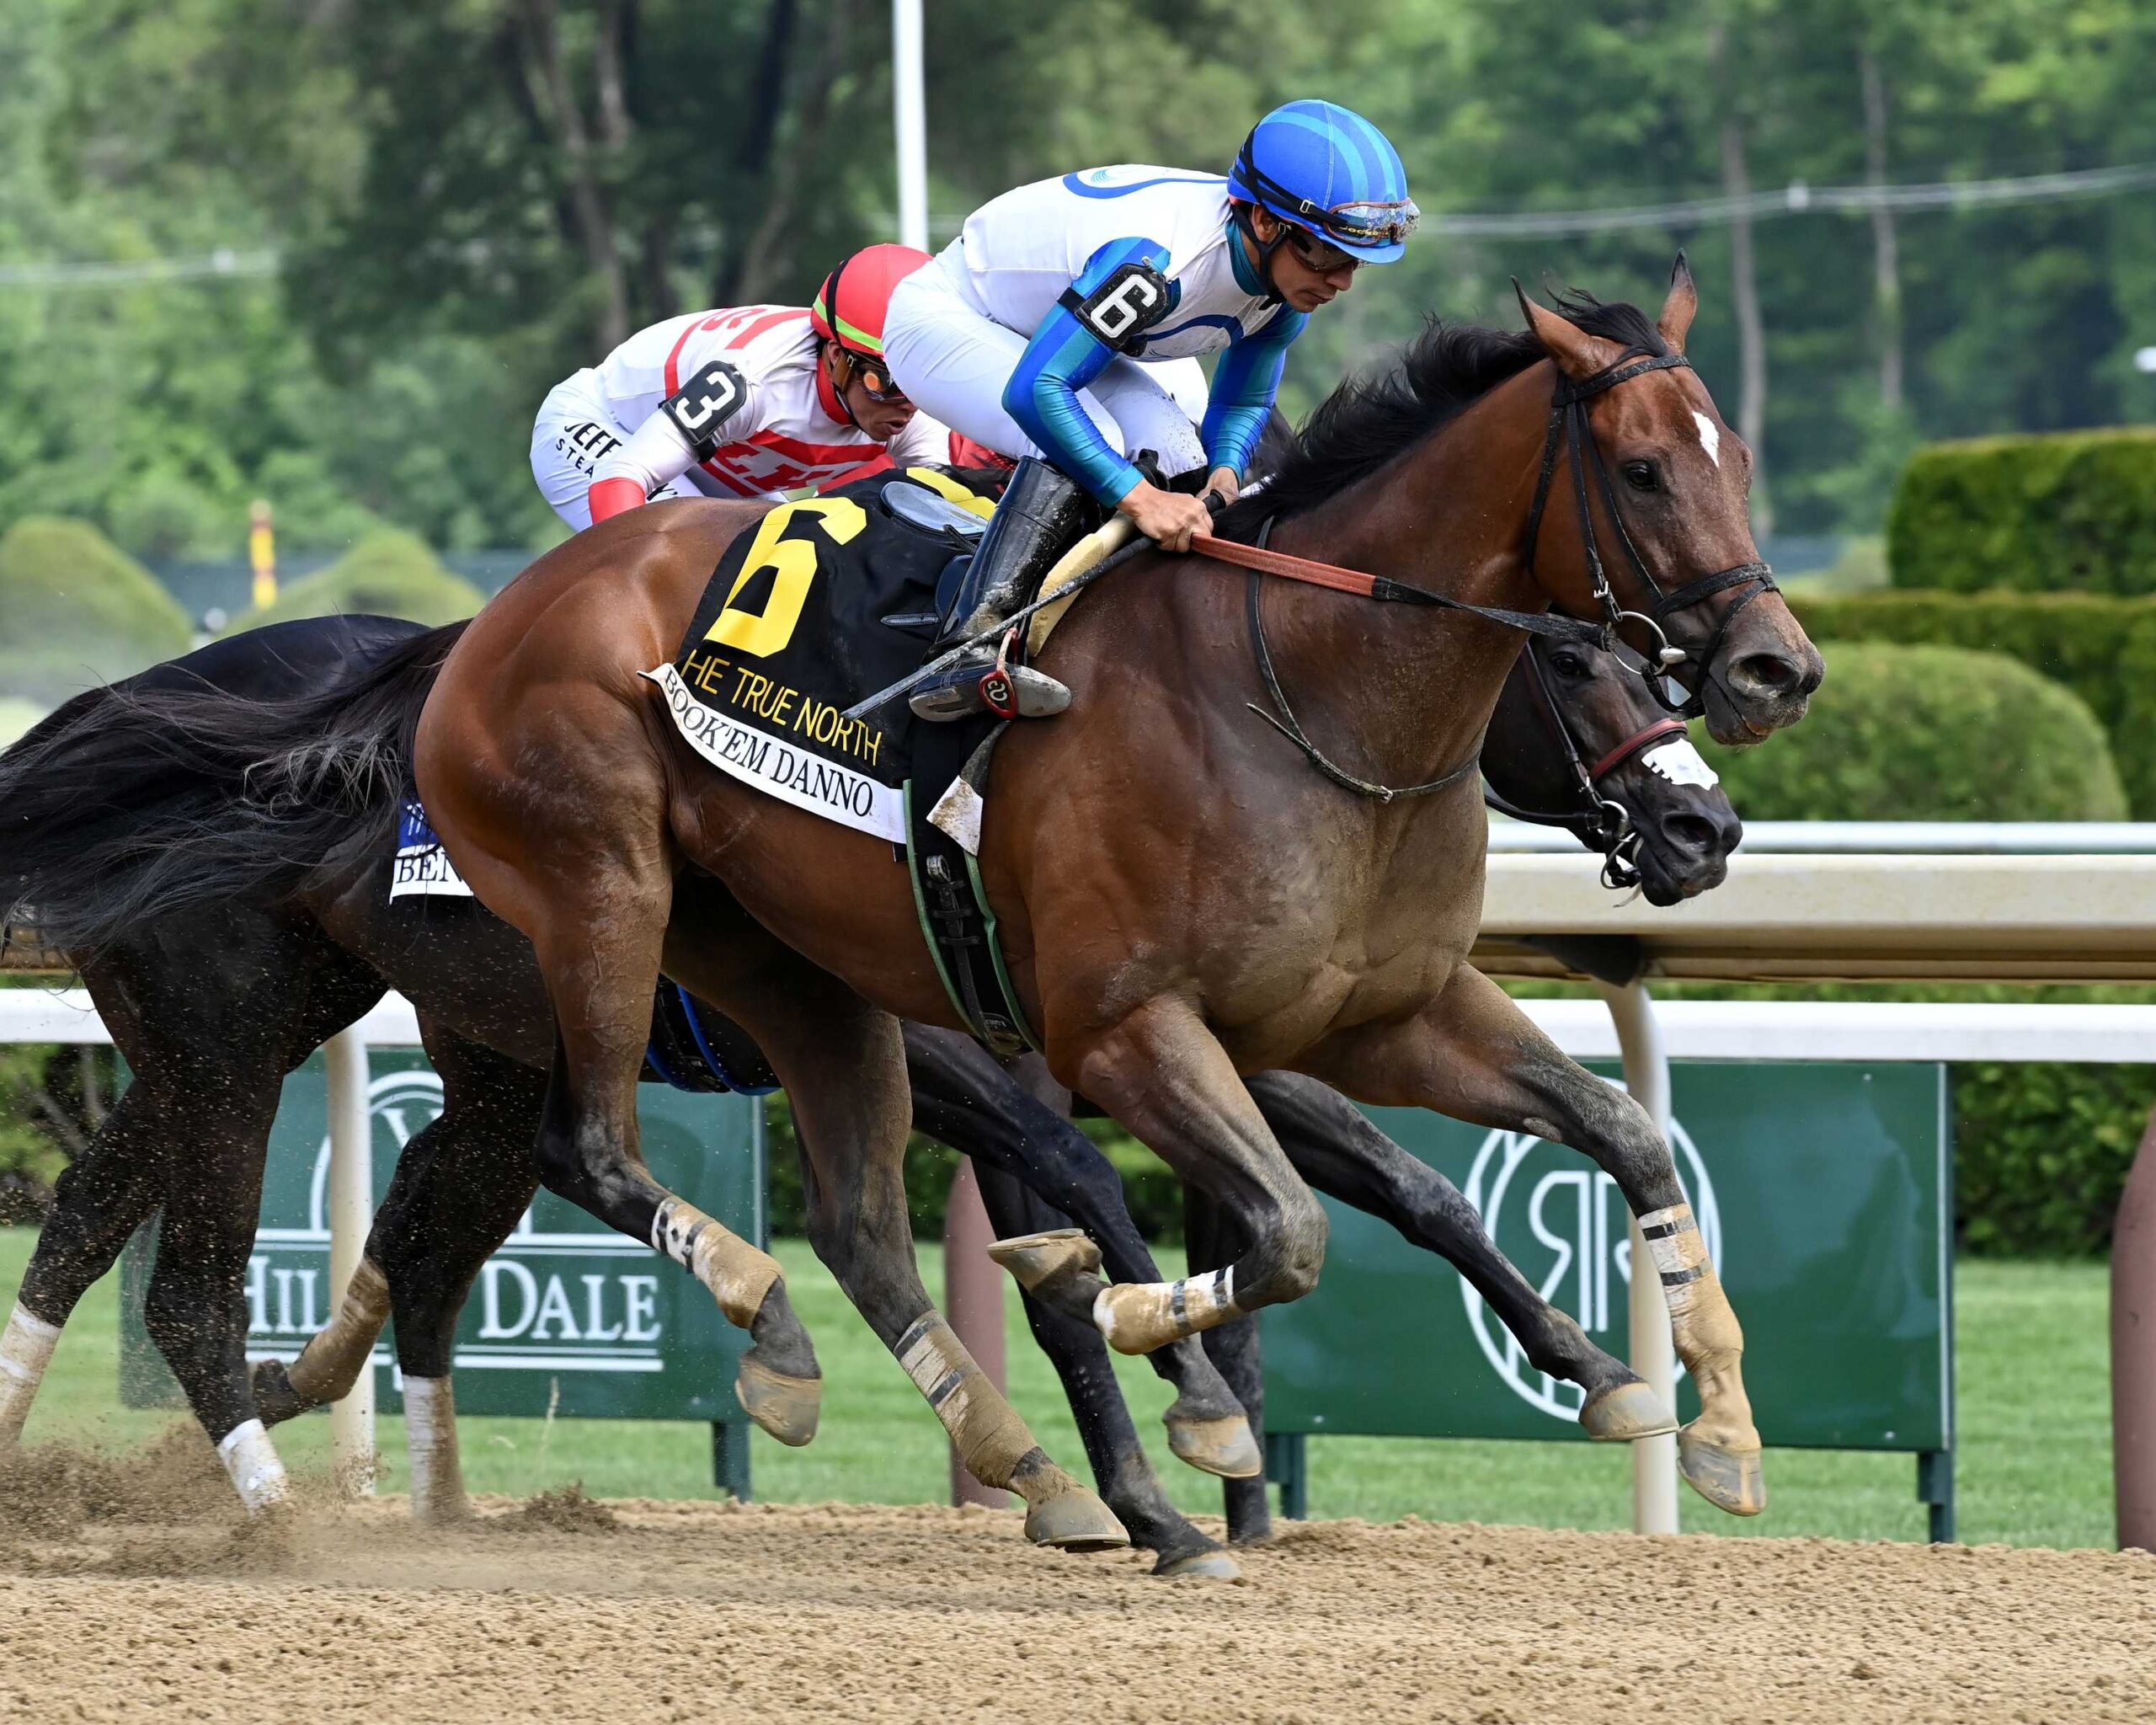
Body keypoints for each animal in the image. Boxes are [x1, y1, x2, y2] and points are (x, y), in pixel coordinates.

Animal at [0, 603, 1735, 1564]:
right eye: (1576, 663)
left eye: (1643, 654)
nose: (1703, 826)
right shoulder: (987, 1062)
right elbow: (1084, 1231)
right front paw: (1163, 1453)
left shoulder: (1169, 1037)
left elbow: (1409, 1185)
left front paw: (1601, 1368)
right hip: (240, 1037)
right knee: (203, 1278)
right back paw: (270, 1495)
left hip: (326, 1036)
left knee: (163, 1223)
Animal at [410, 270, 1819, 1539]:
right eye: (1643, 472)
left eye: (1742, 459)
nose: (1774, 678)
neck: (1295, 692)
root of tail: (488, 623)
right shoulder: (1116, 1034)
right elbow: (1256, 1231)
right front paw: (1175, 1385)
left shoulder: (1369, 1019)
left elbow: (1579, 1144)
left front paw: (1690, 1413)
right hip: (610, 902)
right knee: (590, 1149)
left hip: (789, 979)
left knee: (846, 1230)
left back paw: (971, 1443)